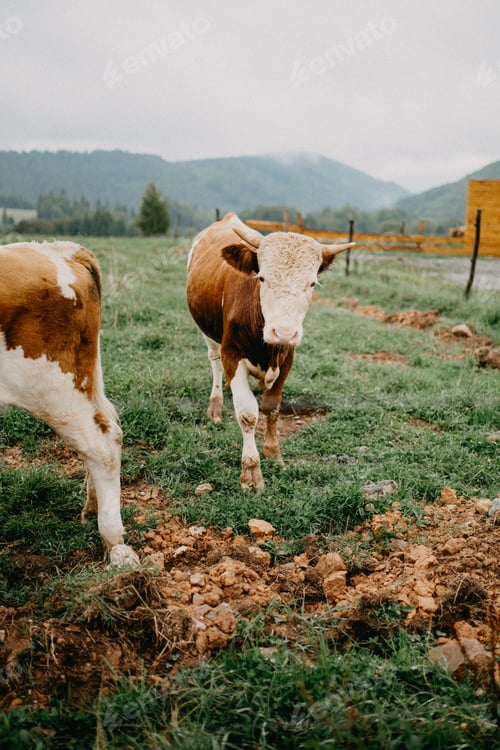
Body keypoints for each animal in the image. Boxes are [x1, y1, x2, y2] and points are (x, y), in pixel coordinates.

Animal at [186, 212, 354, 490]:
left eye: (312, 283)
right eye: (262, 278)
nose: (284, 332)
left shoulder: (287, 358)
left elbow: (272, 407)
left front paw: (274, 453)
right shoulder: (232, 354)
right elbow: (247, 414)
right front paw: (251, 471)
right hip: (208, 334)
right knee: (215, 364)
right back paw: (216, 406)